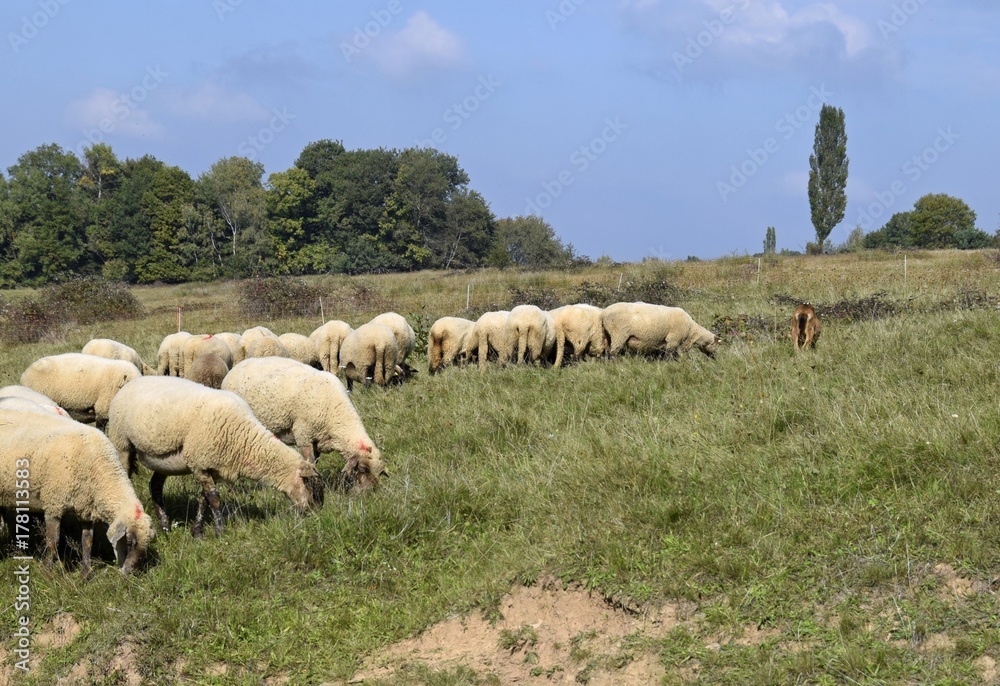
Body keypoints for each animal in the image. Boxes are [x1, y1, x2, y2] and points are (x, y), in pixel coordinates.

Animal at [0, 409, 156, 576]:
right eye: (128, 541)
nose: (131, 573)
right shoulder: (54, 504)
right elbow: (53, 542)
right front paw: (47, 572)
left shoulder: (85, 508)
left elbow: (87, 541)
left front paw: (86, 574)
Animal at [107, 376, 324, 536]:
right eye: (308, 484)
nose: (314, 513)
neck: (243, 438)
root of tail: (132, 382)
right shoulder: (200, 464)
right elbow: (215, 499)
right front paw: (220, 532)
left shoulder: (212, 468)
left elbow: (204, 500)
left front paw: (197, 531)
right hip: (122, 443)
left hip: (163, 461)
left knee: (155, 486)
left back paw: (165, 525)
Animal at [222, 357, 388, 492]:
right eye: (363, 469)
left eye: (378, 473)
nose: (367, 493)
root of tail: (234, 369)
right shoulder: (304, 434)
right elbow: (310, 460)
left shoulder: (318, 439)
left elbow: (316, 461)